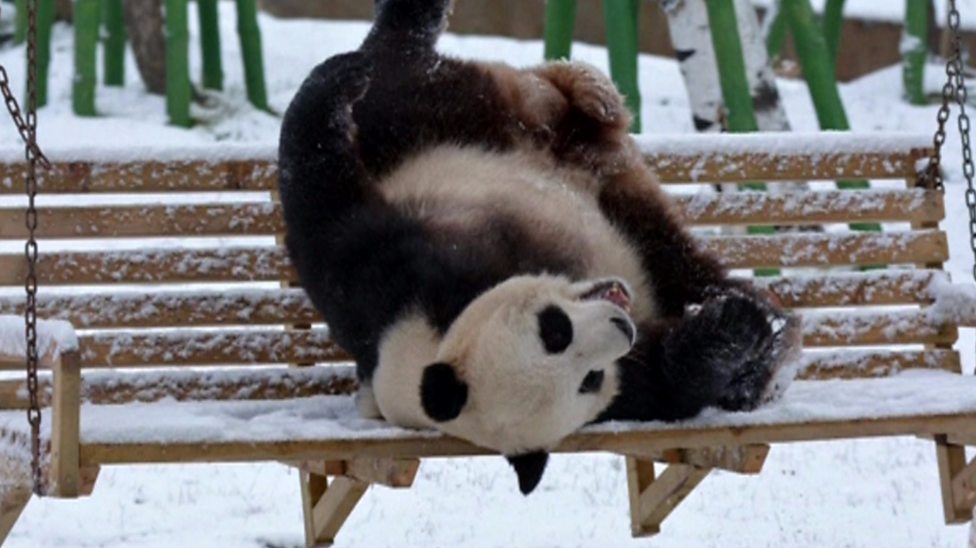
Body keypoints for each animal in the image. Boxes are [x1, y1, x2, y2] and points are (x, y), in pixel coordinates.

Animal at [276, 0, 800, 494]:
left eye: (554, 328)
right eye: (588, 376)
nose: (621, 322)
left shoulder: (393, 280)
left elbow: (329, 218)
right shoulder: (622, 393)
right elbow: (669, 381)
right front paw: (730, 335)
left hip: (455, 123)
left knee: (416, 82)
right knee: (676, 261)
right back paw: (760, 338)